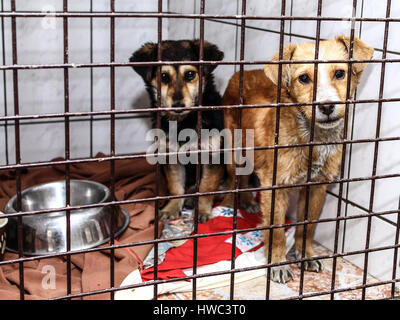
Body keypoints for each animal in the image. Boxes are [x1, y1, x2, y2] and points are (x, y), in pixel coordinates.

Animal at [131, 39, 225, 222]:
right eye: (164, 77)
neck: (185, 122)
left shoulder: (212, 153)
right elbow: (175, 185)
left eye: (190, 75)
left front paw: (202, 210)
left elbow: (206, 186)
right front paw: (172, 207)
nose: (178, 106)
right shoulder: (170, 154)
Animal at [220, 35, 374, 284]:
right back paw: (230, 205)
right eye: (303, 78)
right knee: (234, 178)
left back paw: (249, 202)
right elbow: (277, 231)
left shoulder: (317, 186)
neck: (312, 140)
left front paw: (305, 255)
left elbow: (307, 226)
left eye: (339, 73)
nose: (327, 106)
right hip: (235, 152)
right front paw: (278, 263)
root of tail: (243, 72)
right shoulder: (275, 187)